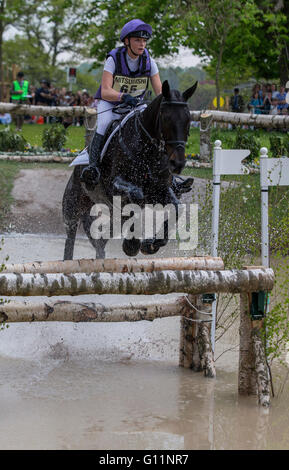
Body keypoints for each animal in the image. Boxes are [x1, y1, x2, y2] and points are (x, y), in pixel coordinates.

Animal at [62, 78, 198, 258]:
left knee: (101, 242)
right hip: (73, 205)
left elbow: (177, 207)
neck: (148, 152)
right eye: (166, 118)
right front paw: (132, 244)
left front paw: (153, 244)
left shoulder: (159, 189)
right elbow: (135, 197)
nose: (178, 163)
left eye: (188, 120)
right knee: (70, 235)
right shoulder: (115, 186)